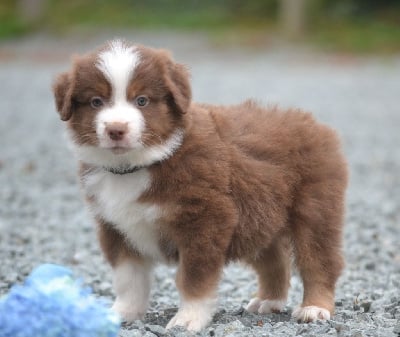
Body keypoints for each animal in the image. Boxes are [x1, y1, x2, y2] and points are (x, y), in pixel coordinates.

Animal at [52, 40, 346, 330]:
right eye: (96, 101)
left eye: (142, 100)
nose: (116, 129)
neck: (139, 165)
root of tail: (313, 123)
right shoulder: (115, 227)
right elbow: (128, 279)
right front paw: (121, 313)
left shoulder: (205, 220)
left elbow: (194, 278)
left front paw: (188, 319)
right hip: (260, 218)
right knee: (275, 260)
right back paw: (269, 301)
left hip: (314, 209)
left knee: (318, 261)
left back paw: (314, 308)